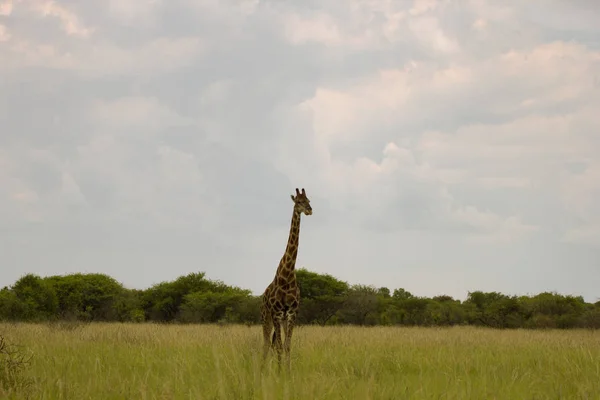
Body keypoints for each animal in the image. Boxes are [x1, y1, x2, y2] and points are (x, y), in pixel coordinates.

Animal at [260, 188, 312, 372]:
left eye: (309, 200)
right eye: (298, 201)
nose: (309, 210)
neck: (287, 275)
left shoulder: (291, 314)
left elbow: (287, 345)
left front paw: (287, 371)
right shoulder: (276, 314)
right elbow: (279, 346)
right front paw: (278, 371)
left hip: (281, 319)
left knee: (273, 343)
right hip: (266, 317)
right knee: (266, 343)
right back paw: (263, 368)